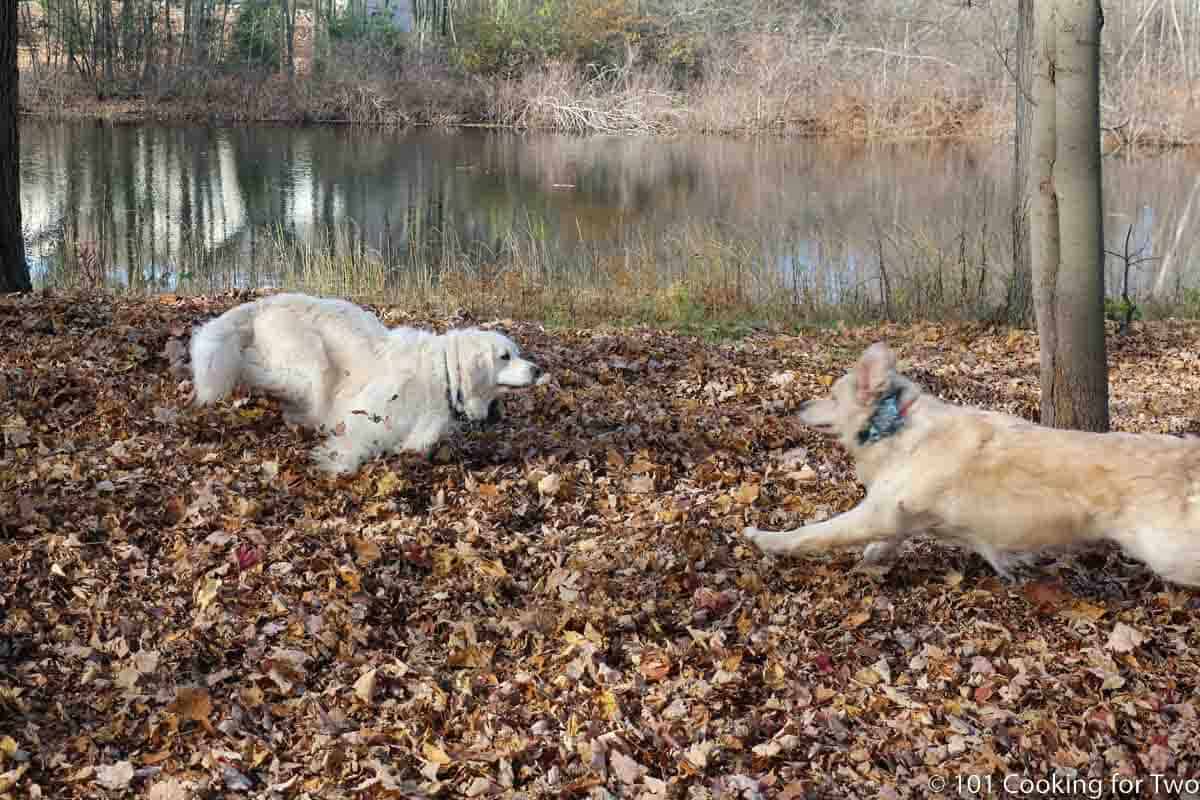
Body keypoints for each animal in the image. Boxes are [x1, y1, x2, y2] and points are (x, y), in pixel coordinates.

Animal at [189, 293, 542, 472]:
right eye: (505, 356)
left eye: (517, 353)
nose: (537, 370)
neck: (443, 373)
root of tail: (268, 301)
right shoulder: (368, 414)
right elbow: (355, 443)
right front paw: (335, 462)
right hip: (308, 363)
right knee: (253, 366)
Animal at [744, 340, 1200, 585]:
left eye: (832, 396)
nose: (799, 407)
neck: (895, 427)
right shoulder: (897, 513)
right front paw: (876, 554)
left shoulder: (874, 513)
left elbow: (813, 533)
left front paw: (767, 540)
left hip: (1169, 553)